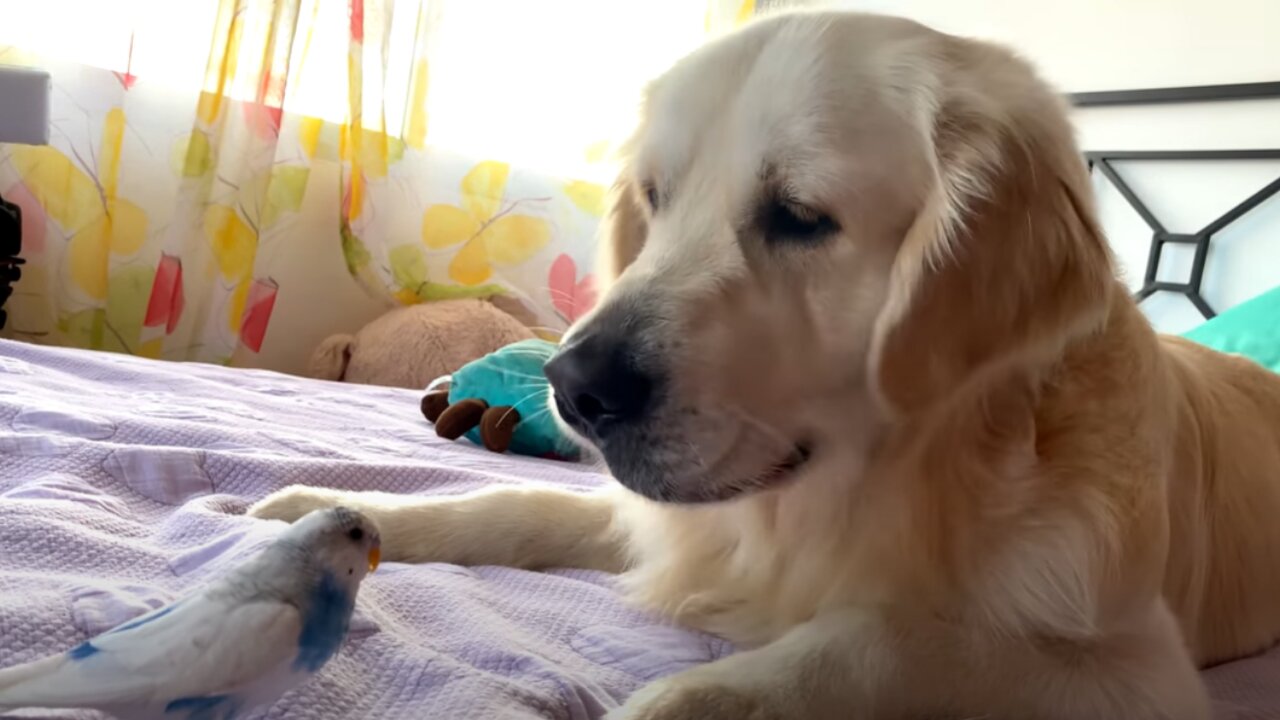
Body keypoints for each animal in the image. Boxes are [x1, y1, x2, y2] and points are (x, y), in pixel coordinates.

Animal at [254, 11, 1280, 717]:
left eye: (800, 217)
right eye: (655, 199)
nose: (574, 389)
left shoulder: (1126, 667)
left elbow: (871, 640)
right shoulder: (680, 520)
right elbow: (516, 505)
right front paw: (333, 515)